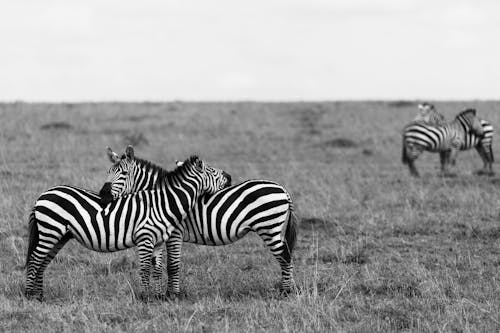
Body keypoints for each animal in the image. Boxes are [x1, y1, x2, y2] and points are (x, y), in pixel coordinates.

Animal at [25, 154, 230, 300]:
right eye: (212, 171)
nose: (229, 176)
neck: (164, 202)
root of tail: (43, 195)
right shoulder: (146, 237)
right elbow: (146, 268)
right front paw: (145, 298)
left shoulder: (157, 241)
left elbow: (156, 269)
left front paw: (158, 297)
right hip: (50, 231)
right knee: (35, 259)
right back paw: (29, 296)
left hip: (59, 236)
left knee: (42, 262)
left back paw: (39, 296)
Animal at [100, 145, 298, 294]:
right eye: (108, 172)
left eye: (124, 174)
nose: (103, 195)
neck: (163, 198)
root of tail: (283, 189)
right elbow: (161, 265)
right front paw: (164, 293)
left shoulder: (174, 234)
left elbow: (172, 265)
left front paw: (172, 295)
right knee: (286, 255)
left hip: (269, 227)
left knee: (284, 256)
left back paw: (286, 291)